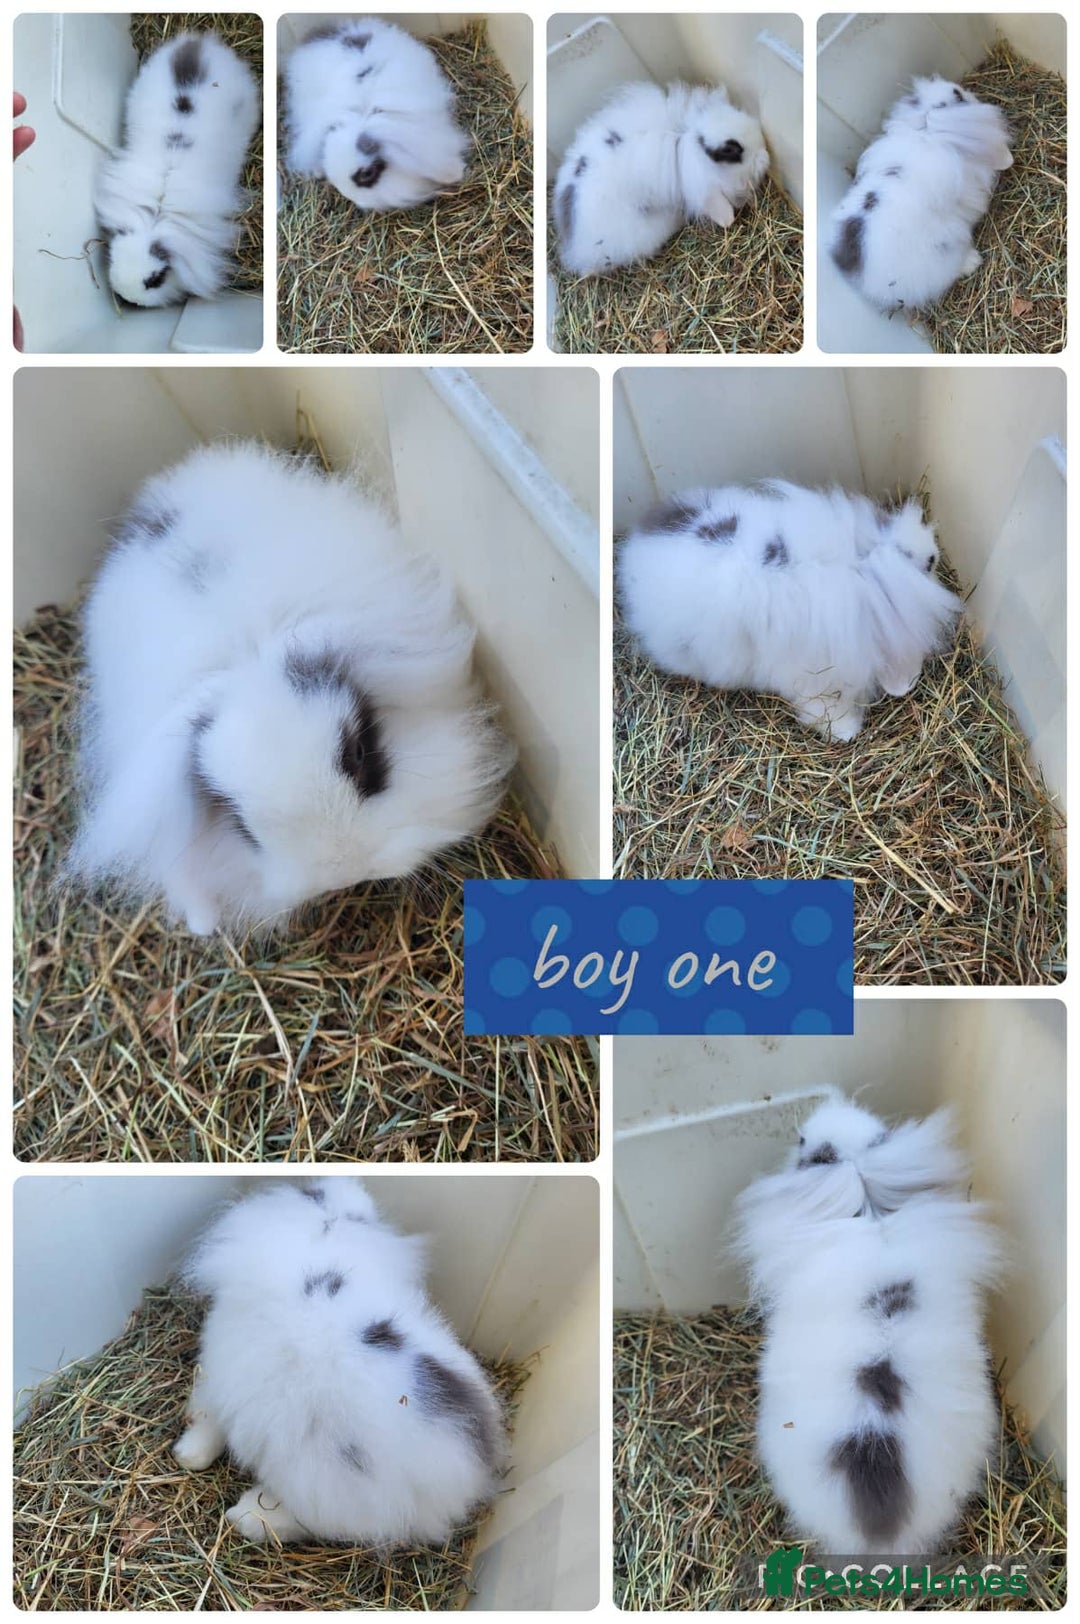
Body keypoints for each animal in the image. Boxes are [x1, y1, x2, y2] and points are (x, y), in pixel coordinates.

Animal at [174, 1178, 508, 1546]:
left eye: (312, 1194)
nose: (351, 1187)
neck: (323, 1239)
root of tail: (465, 1474)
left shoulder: (217, 1374)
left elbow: (206, 1420)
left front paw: (186, 1455)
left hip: (323, 1483)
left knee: (320, 1523)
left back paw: (246, 1517)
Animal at [553, 81, 769, 277]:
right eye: (733, 151)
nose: (765, 156)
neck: (686, 144)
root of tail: (576, 247)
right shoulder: (705, 191)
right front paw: (728, 220)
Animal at [617, 481, 964, 740]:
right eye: (927, 566)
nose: (933, 552)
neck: (860, 571)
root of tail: (633, 555)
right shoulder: (812, 679)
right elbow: (823, 709)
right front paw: (846, 731)